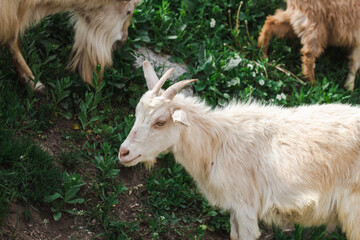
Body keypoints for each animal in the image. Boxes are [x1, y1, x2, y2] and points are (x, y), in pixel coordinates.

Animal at [119, 60, 360, 240]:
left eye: (160, 122)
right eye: (137, 113)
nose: (124, 152)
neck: (216, 143)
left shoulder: (245, 204)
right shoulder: (235, 208)